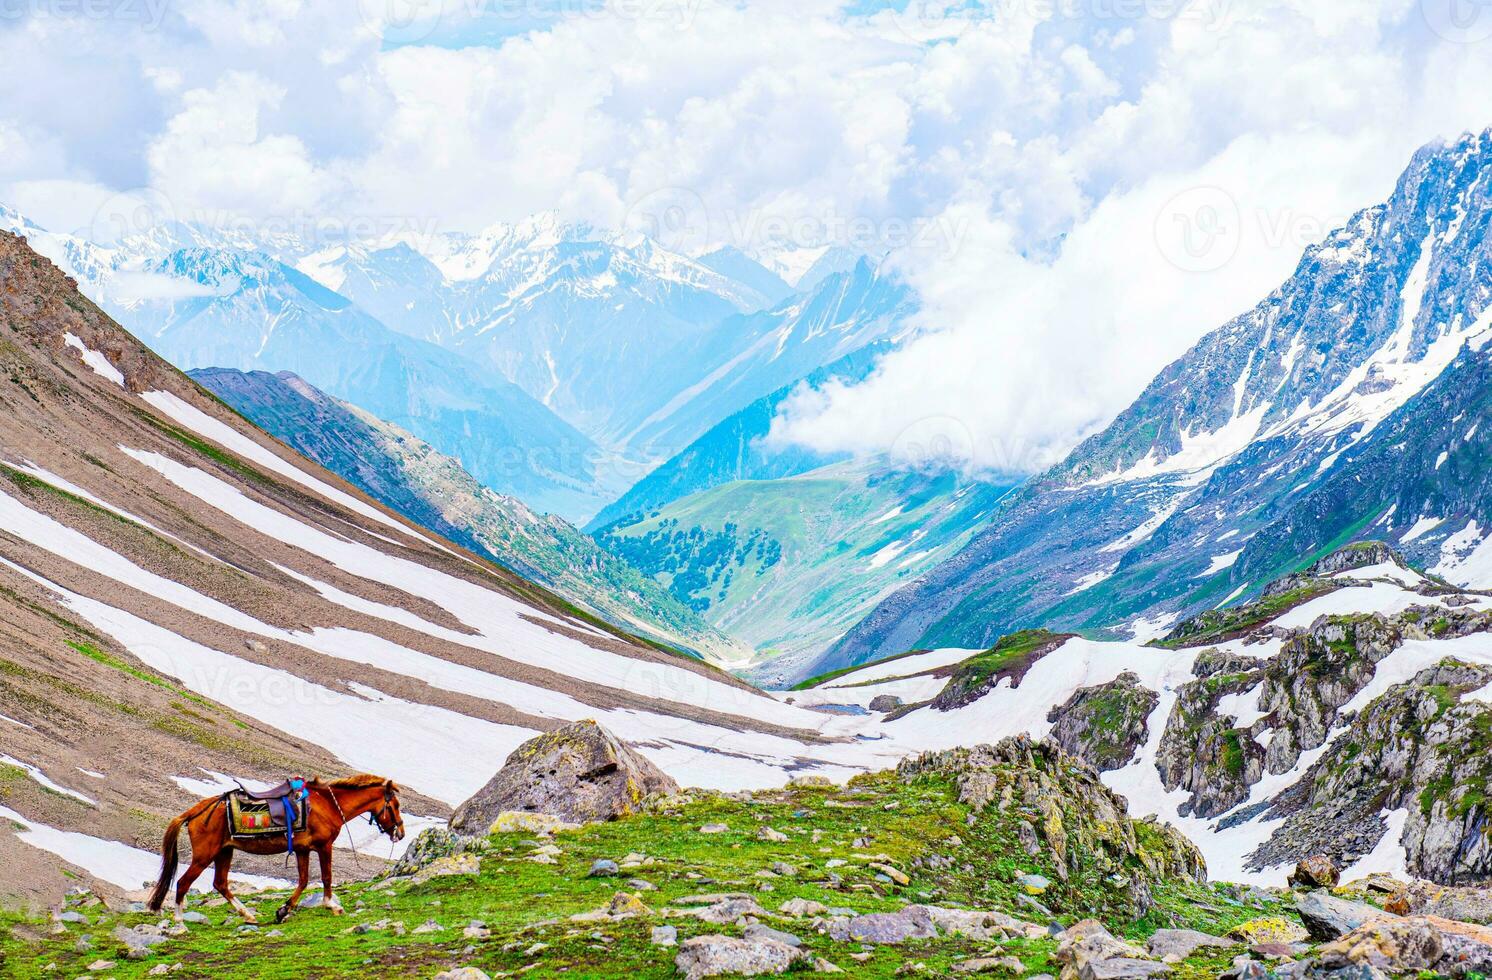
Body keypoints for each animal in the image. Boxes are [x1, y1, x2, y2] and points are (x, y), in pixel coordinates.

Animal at [146, 769, 405, 924]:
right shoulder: (323, 846)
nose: (400, 833)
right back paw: (180, 923)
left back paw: (248, 915)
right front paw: (332, 905)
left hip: (224, 851)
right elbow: (326, 877)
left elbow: (303, 880)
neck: (328, 804)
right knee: (183, 883)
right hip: (204, 855)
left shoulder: (302, 849)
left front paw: (283, 911)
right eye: (395, 805)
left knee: (220, 883)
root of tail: (196, 811)